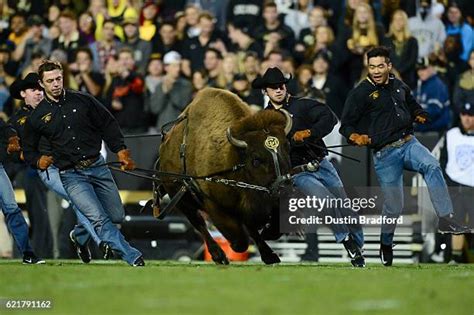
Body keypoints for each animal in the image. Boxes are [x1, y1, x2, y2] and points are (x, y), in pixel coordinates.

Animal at [159, 87, 290, 266]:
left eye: (286, 148)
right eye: (256, 159)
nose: (282, 186)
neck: (233, 156)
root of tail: (164, 147)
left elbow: (258, 227)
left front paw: (269, 249)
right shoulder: (214, 205)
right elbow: (240, 240)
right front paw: (232, 248)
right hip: (181, 199)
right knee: (199, 223)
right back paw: (219, 256)